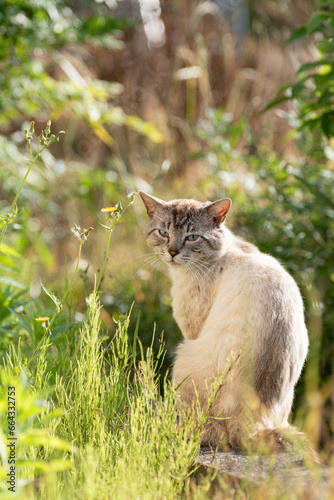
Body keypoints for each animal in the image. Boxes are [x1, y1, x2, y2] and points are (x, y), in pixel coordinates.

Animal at [139, 189, 310, 452]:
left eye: (192, 237)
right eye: (163, 233)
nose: (172, 252)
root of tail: (251, 425)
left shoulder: (191, 329)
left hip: (182, 355)